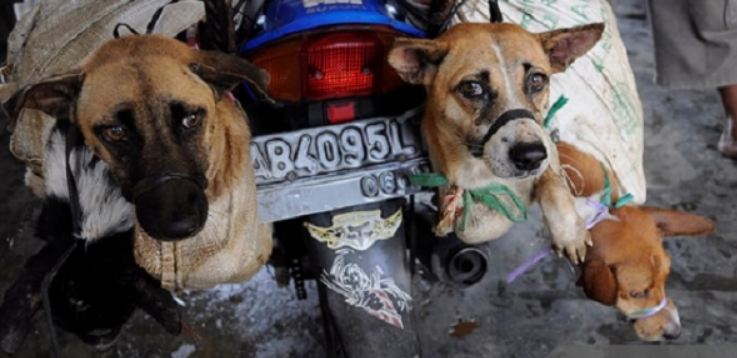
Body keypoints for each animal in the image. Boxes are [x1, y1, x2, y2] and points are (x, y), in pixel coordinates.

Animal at [386, 23, 604, 262]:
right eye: (472, 87)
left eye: (537, 80)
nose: (531, 157)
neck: (481, 169)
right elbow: (473, 228)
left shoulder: (546, 144)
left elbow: (554, 185)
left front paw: (569, 234)